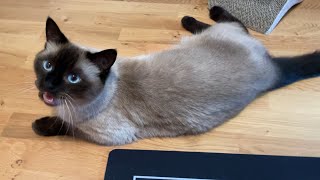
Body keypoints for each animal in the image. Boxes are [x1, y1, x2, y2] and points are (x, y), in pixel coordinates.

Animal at [33, 6, 320, 146]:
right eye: (47, 66)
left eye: (73, 78)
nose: (48, 84)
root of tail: (271, 67)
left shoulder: (110, 135)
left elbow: (64, 126)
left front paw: (39, 125)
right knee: (235, 26)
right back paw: (191, 18)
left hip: (224, 34)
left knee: (237, 23)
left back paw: (205, 12)